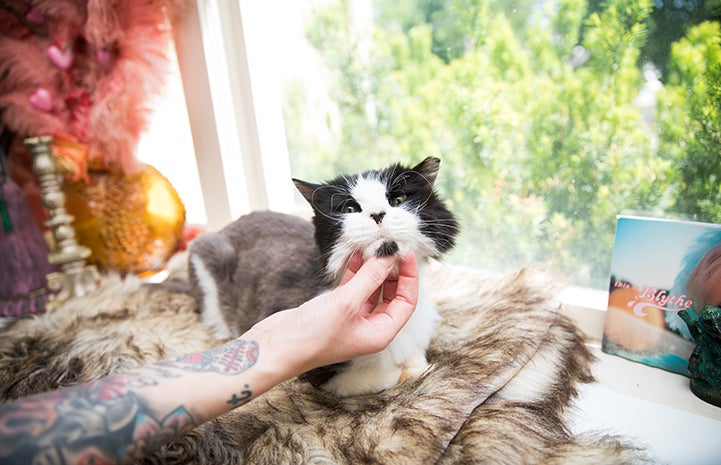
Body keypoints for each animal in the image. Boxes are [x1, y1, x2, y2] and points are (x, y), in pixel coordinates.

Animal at [186, 157, 456, 396]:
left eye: (398, 199)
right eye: (350, 208)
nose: (378, 214)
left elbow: (417, 361)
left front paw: (413, 365)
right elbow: (355, 380)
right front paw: (394, 374)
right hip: (206, 254)